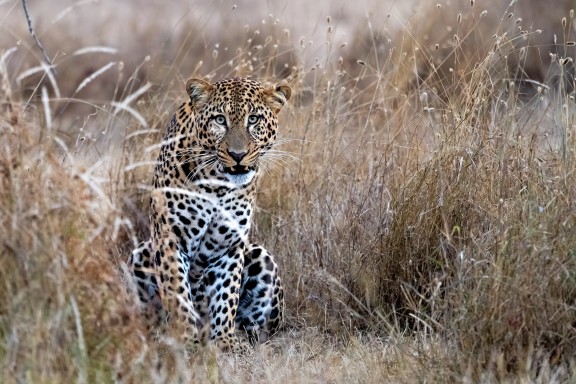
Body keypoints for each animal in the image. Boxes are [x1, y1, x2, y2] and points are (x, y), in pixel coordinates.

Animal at [128, 76, 290, 352]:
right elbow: (178, 291)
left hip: (262, 256)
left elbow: (226, 294)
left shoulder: (230, 245)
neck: (218, 184)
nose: (238, 155)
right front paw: (186, 340)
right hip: (140, 255)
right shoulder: (170, 239)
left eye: (254, 119)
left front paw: (225, 341)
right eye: (220, 120)